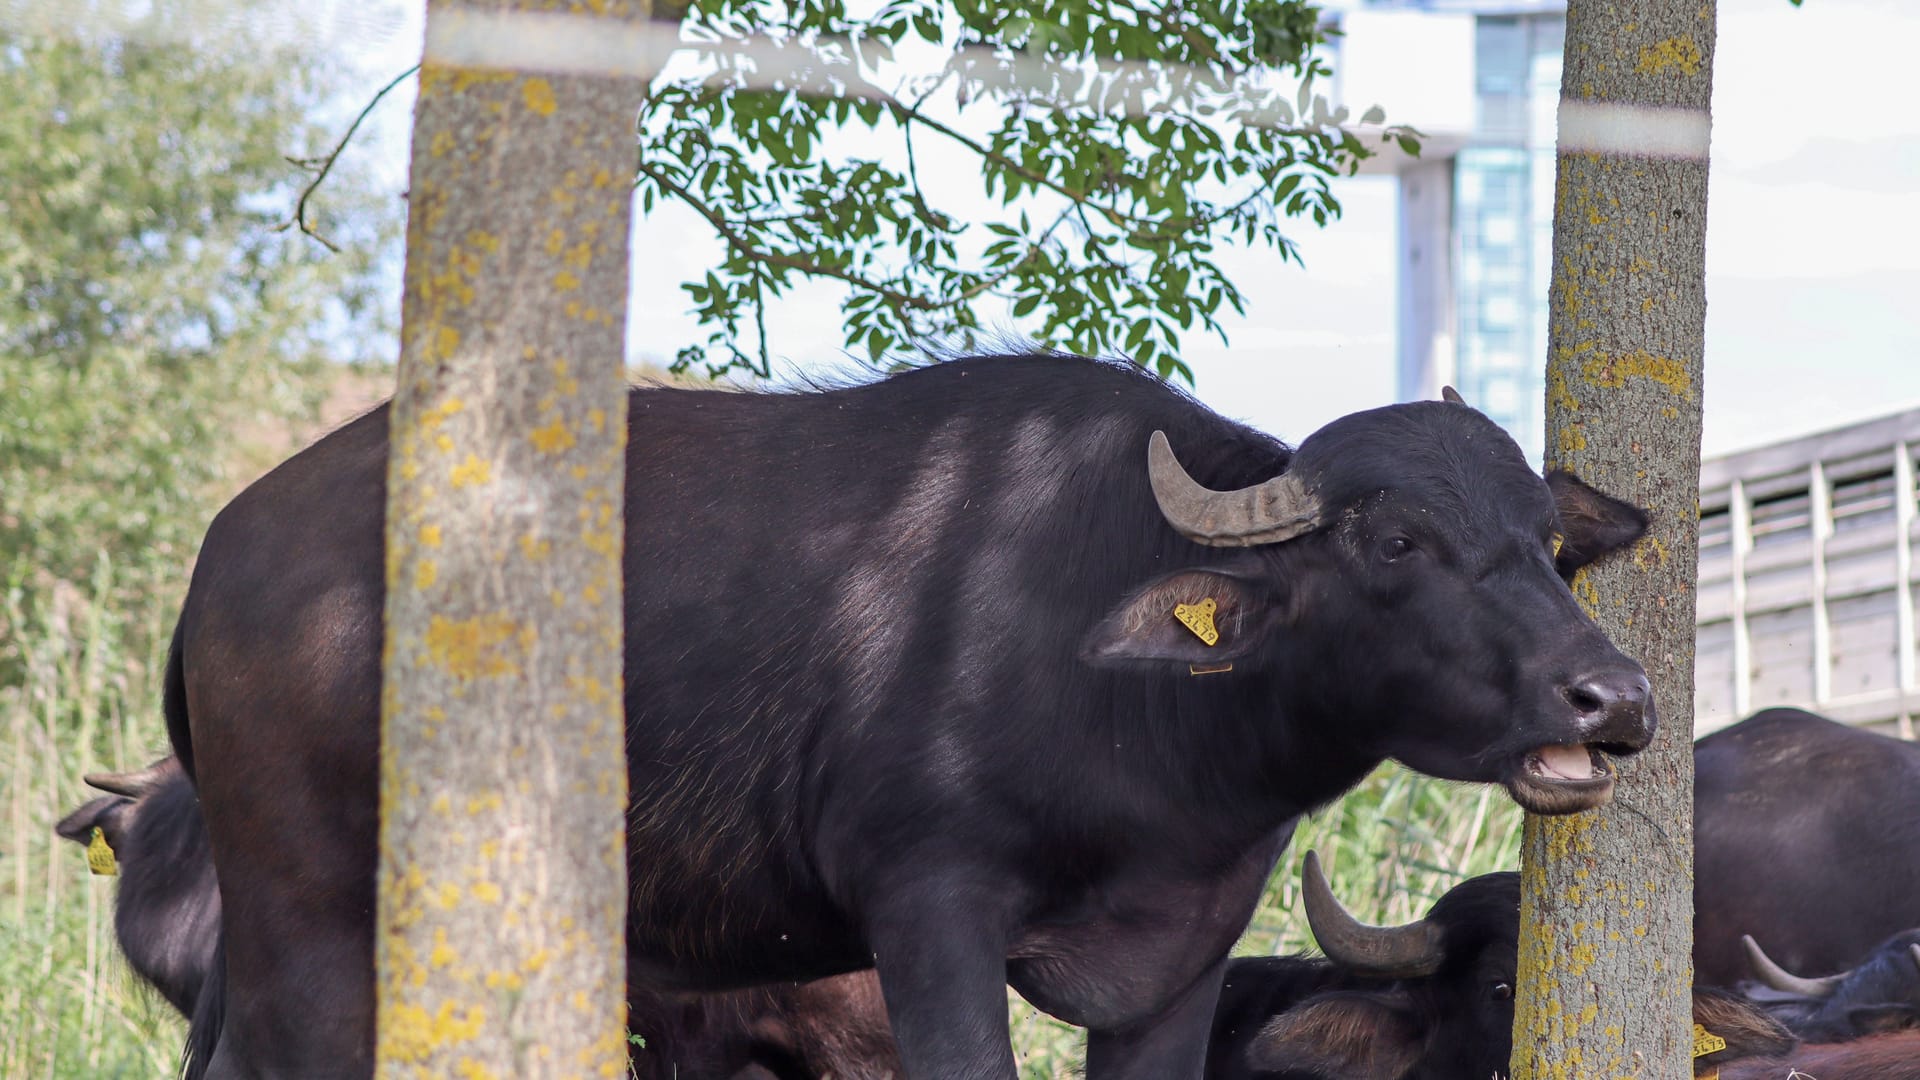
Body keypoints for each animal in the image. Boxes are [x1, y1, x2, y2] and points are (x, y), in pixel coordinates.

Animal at [172, 355, 1658, 1076]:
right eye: (1396, 542)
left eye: (1546, 541)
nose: (1617, 697)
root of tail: (224, 558)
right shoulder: (928, 910)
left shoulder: (1179, 965)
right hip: (306, 914)